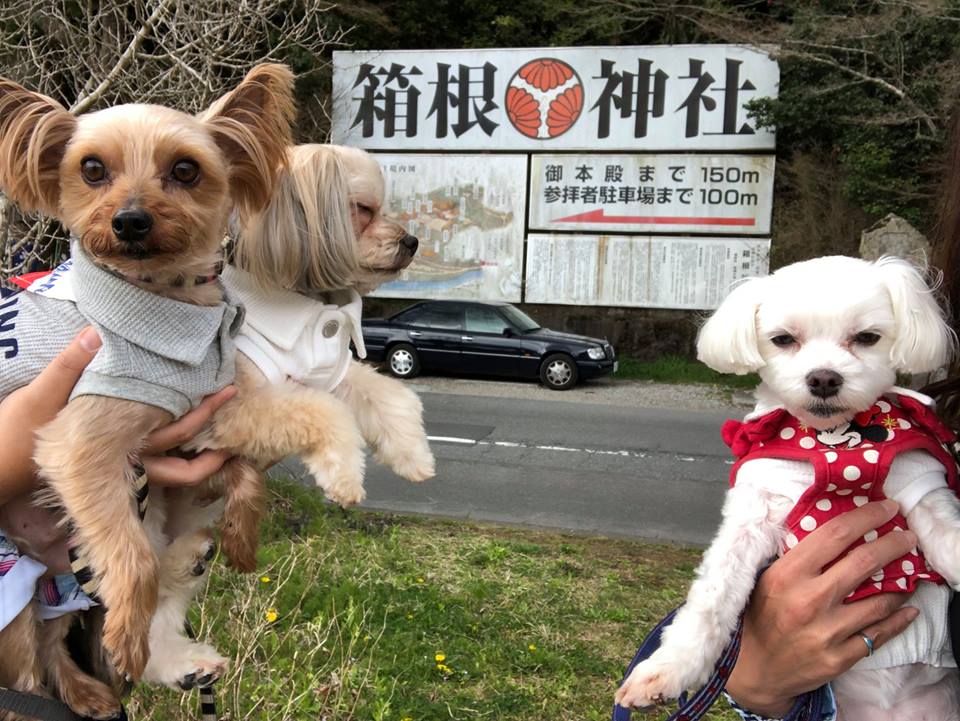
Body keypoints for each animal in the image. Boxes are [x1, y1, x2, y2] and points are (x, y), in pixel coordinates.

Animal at [0, 64, 296, 716]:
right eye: (91, 168)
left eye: (185, 169)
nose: (130, 220)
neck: (166, 303)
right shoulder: (77, 447)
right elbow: (132, 560)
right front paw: (129, 641)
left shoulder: (196, 426)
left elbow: (244, 469)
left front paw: (241, 539)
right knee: (25, 669)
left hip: (62, 575)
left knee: (56, 634)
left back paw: (97, 685)